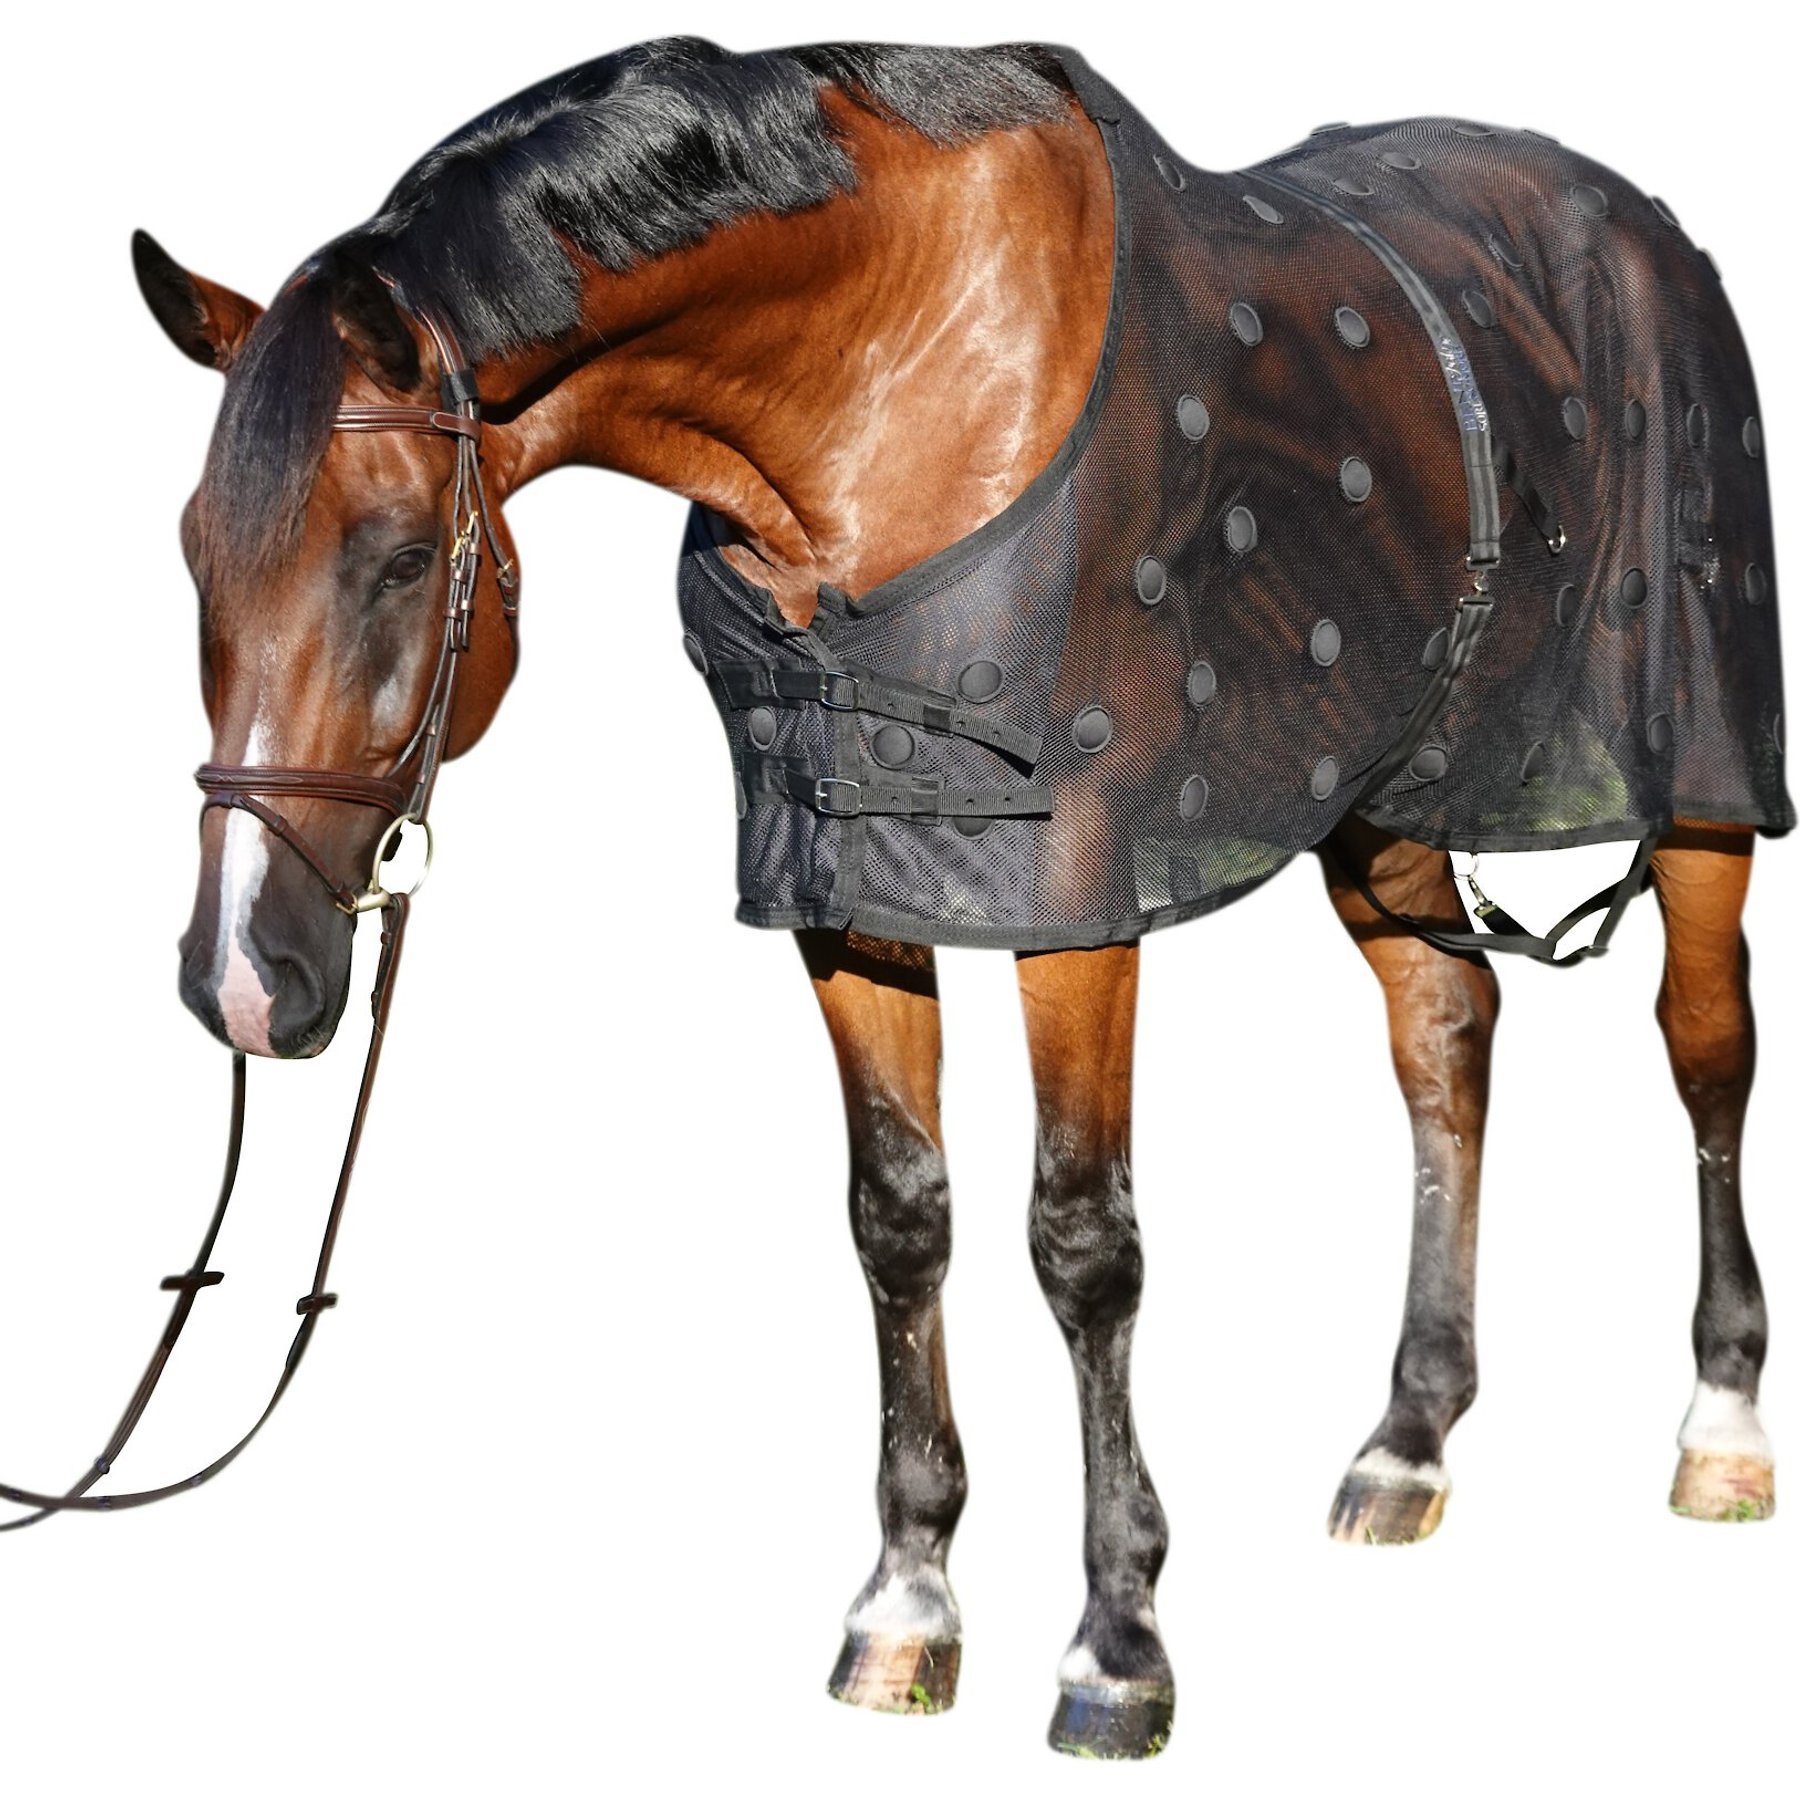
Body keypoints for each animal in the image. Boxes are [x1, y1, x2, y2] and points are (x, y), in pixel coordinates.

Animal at [124, 38, 1785, 1760]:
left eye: (397, 557)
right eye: (194, 554)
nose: (242, 979)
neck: (888, 389)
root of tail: (1643, 225)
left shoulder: (1076, 899)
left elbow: (1084, 1243)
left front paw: (1118, 1646)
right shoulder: (847, 890)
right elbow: (898, 1222)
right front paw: (906, 1606)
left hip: (1706, 769)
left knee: (1704, 1044)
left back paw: (1719, 1427)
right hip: (1384, 788)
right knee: (1447, 1032)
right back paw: (1408, 1440)